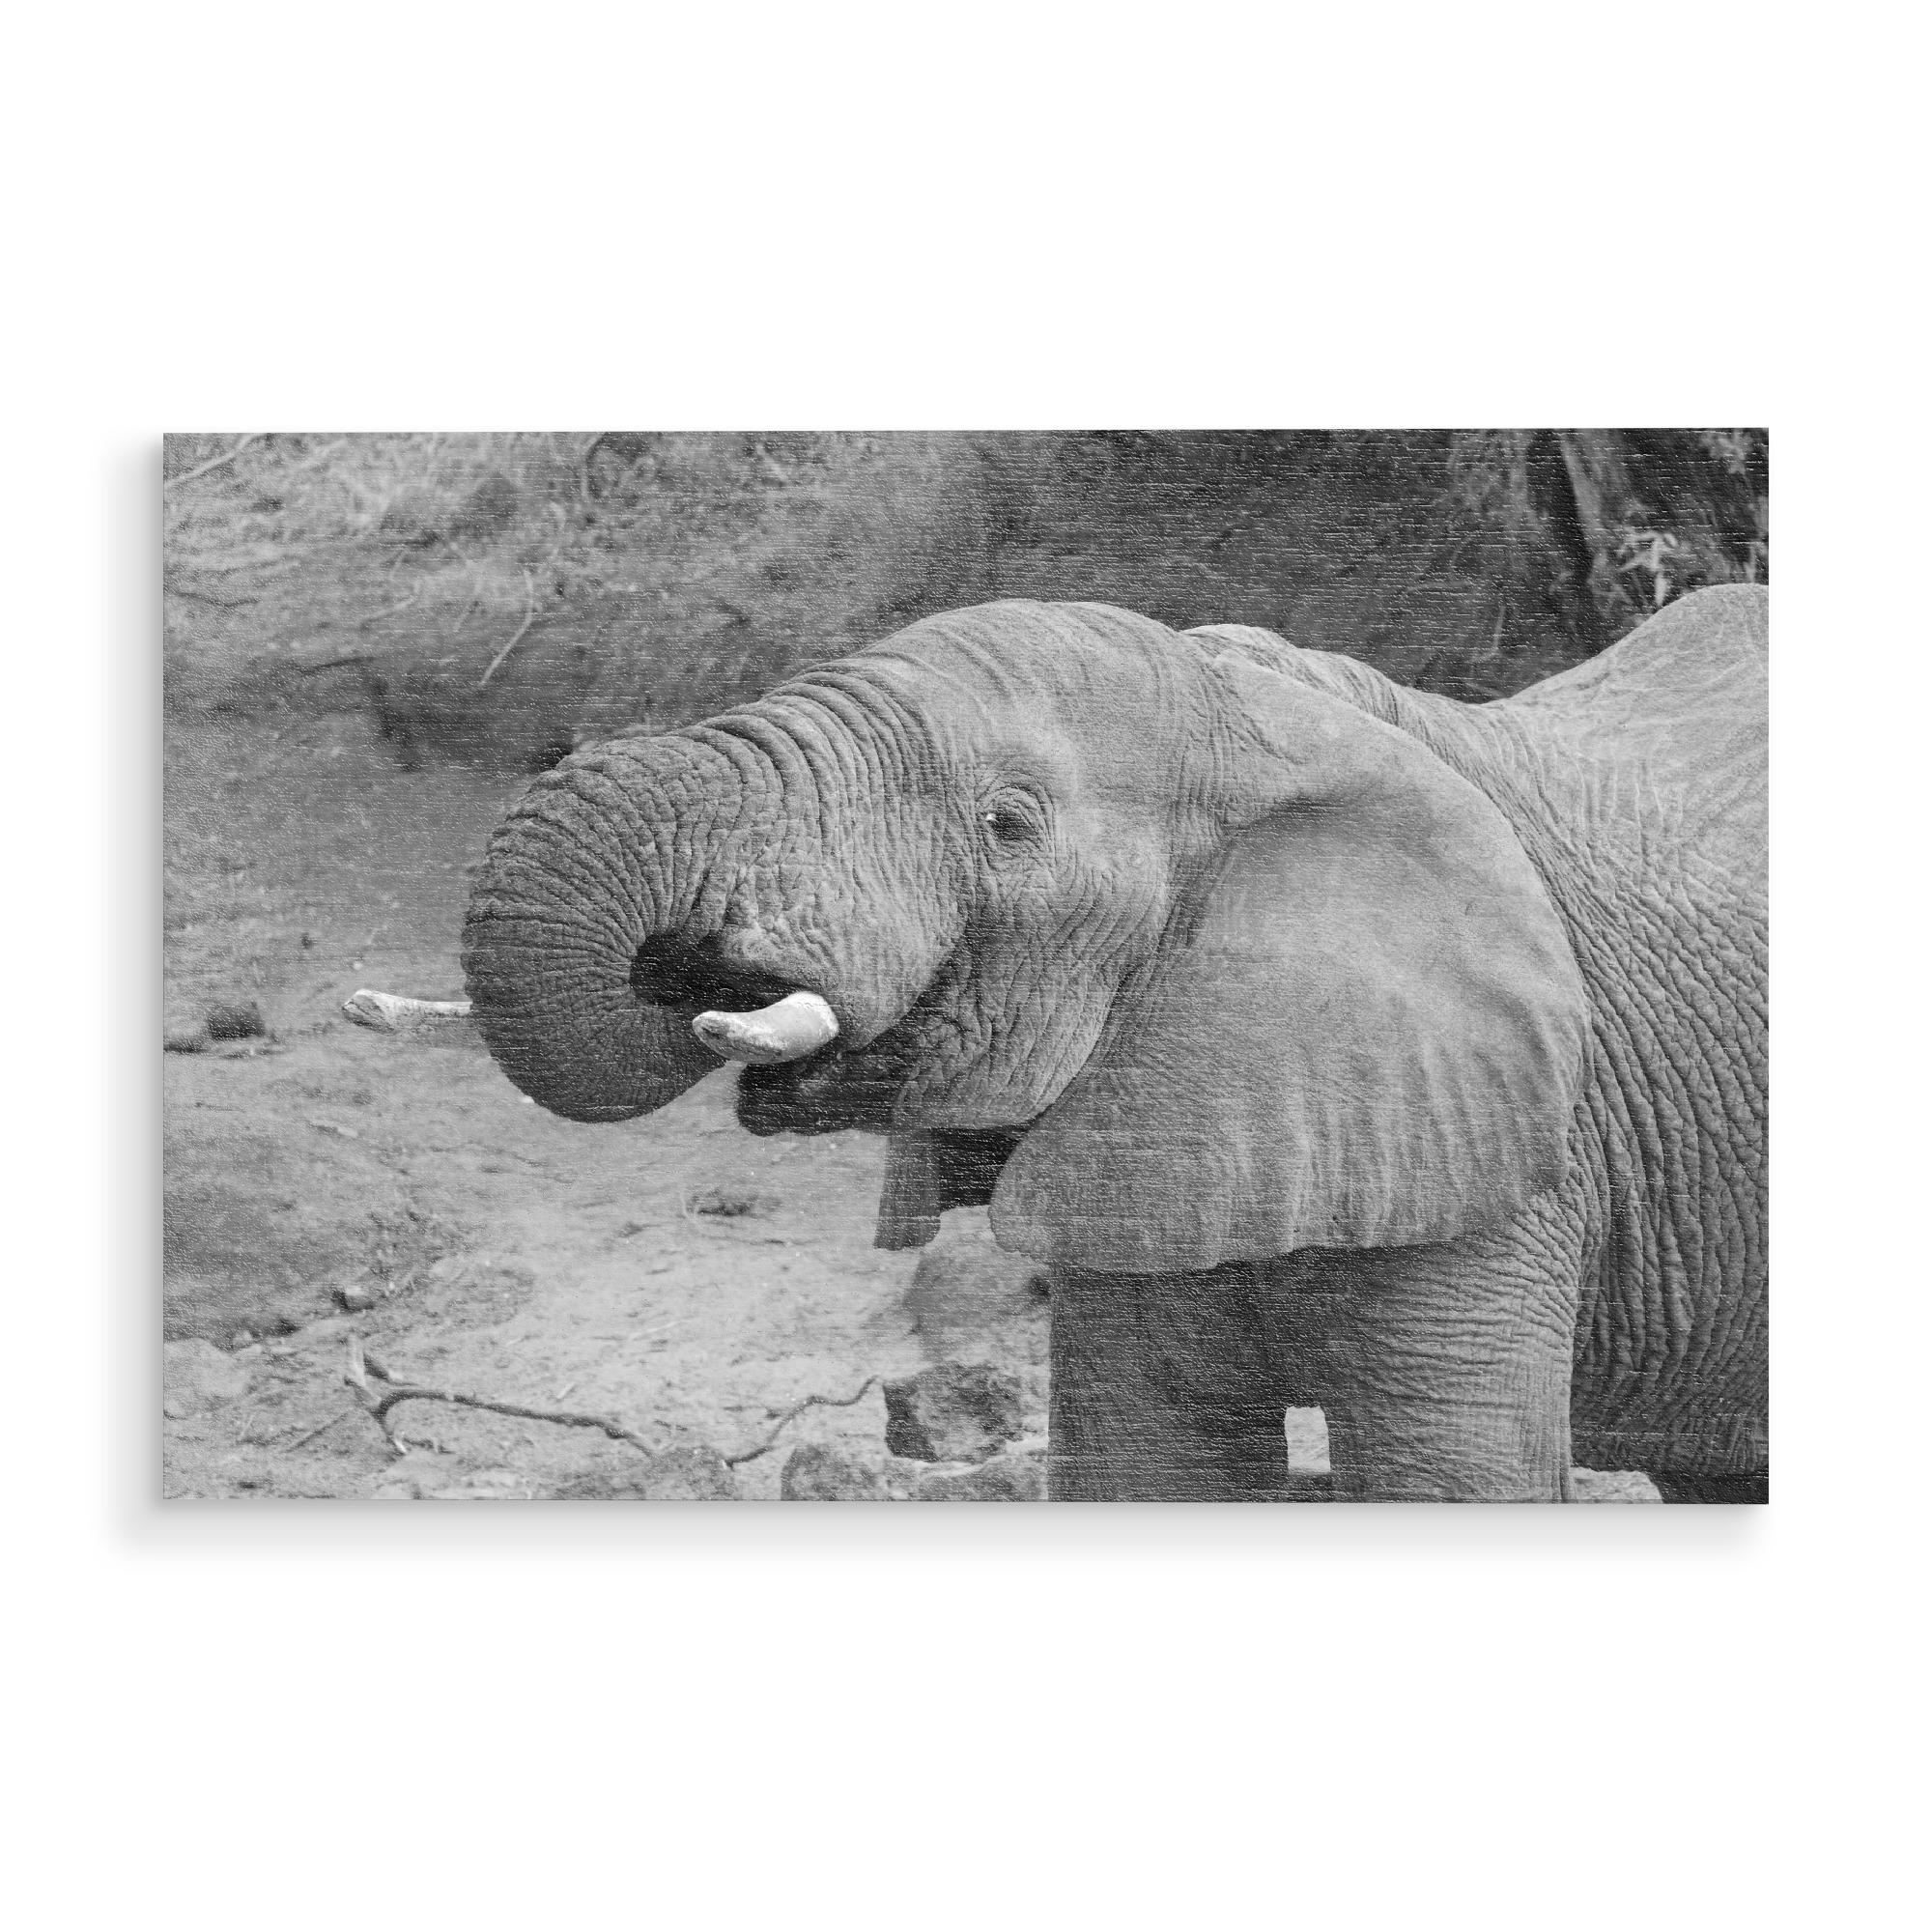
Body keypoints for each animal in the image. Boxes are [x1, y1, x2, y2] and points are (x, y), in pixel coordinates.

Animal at [442, 583, 1767, 1502]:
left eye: (1007, 823)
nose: (694, 960)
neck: (1263, 718)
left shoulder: (1515, 1155)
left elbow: (1448, 1479)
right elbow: (1146, 1460)